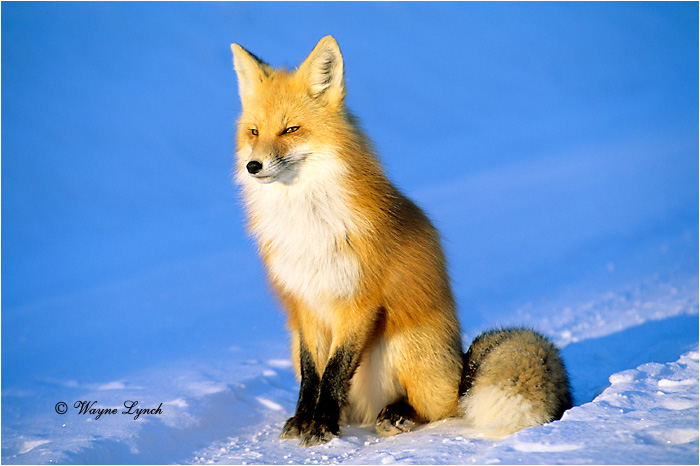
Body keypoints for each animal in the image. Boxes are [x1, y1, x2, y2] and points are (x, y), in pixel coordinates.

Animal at [230, 35, 572, 446]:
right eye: (254, 132)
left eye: (291, 129)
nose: (253, 166)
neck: (307, 221)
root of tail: (462, 368)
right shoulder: (304, 304)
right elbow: (313, 375)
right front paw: (304, 420)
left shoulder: (359, 302)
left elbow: (334, 373)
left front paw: (322, 425)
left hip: (403, 344)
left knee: (438, 407)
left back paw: (397, 414)